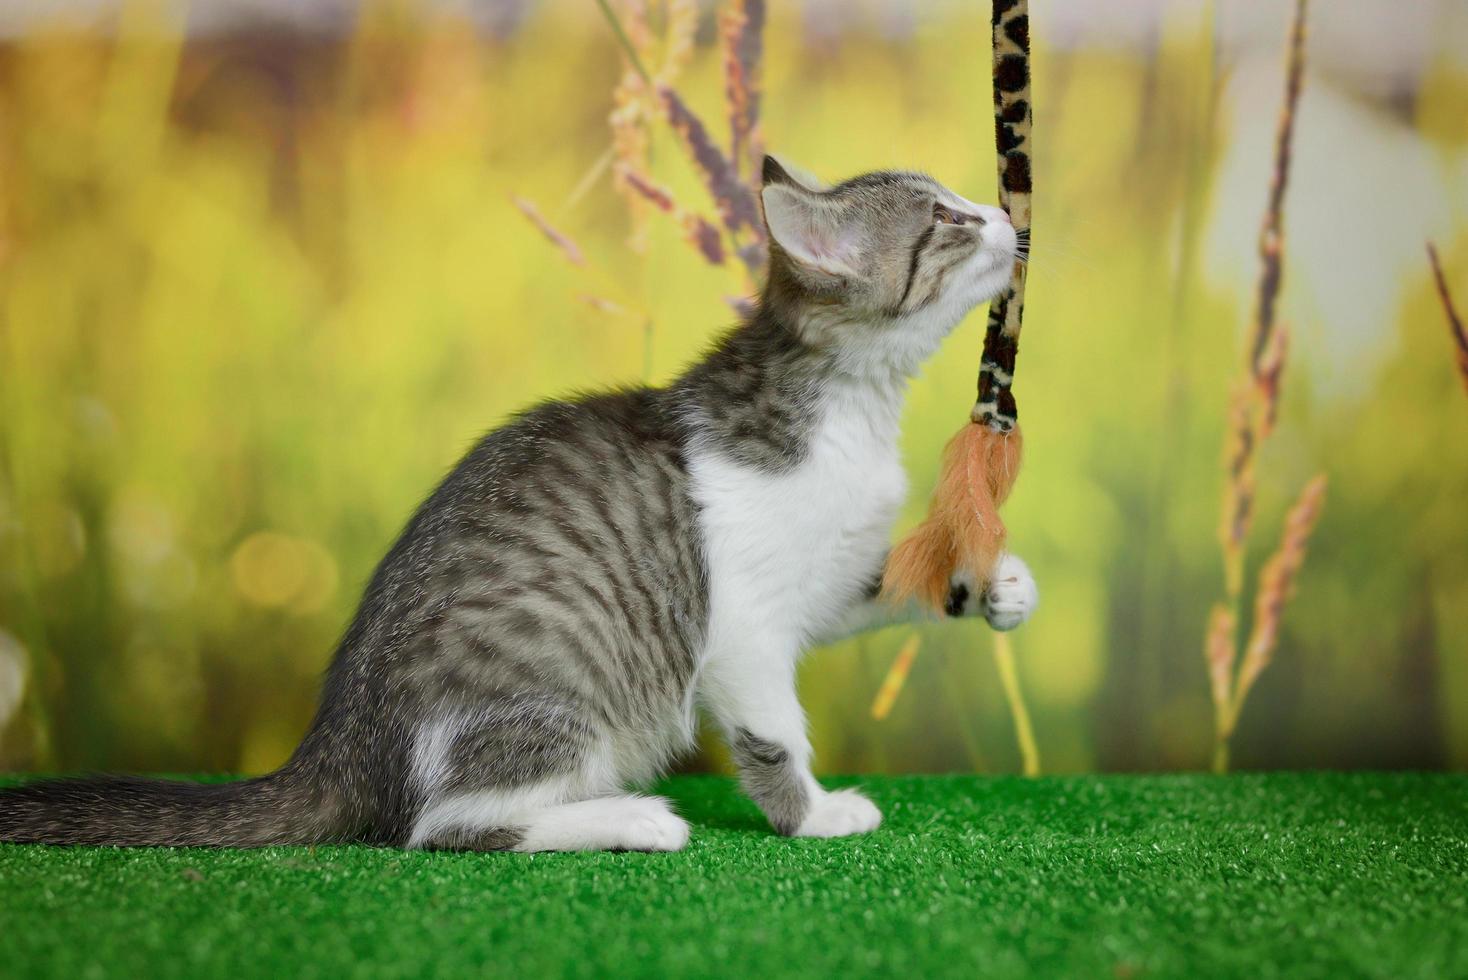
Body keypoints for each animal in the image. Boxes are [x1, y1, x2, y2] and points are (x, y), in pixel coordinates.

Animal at [0, 154, 1039, 850]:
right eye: (943, 221)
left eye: (961, 201)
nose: (1002, 213)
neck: (850, 406)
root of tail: (339, 745)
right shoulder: (742, 622)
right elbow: (775, 730)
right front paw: (816, 814)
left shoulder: (821, 579)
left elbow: (889, 585)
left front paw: (998, 585)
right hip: (549, 697)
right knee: (447, 825)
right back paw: (629, 818)